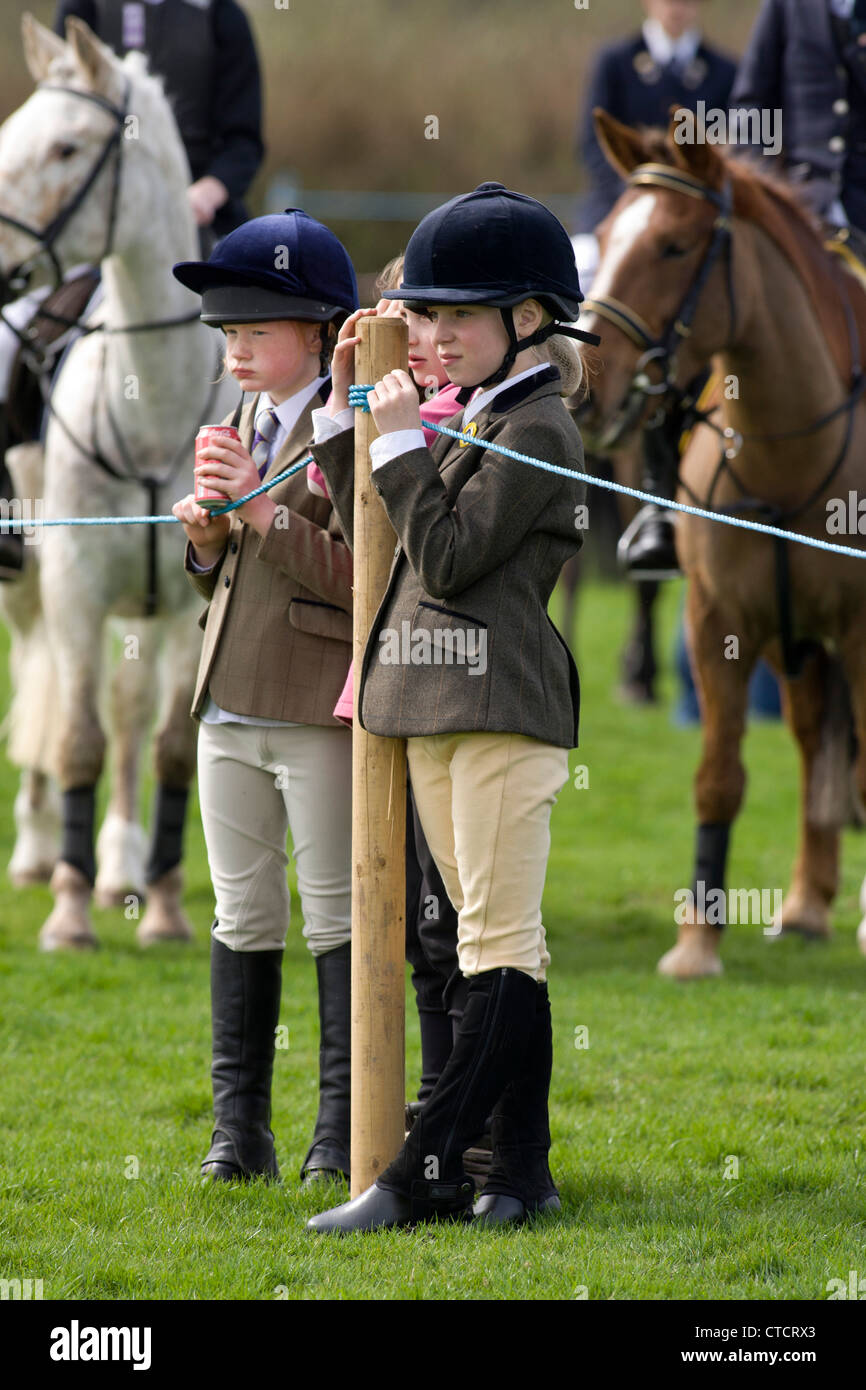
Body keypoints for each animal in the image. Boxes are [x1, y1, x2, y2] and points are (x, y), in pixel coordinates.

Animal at [0, 13, 234, 945]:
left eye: (68, 147)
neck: (151, 401)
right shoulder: (72, 586)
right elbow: (75, 738)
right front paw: (66, 913)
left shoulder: (188, 599)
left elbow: (167, 745)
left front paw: (161, 906)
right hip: (30, 590)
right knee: (41, 682)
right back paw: (40, 853)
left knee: (132, 714)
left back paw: (124, 867)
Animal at [578, 111, 866, 978]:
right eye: (606, 235)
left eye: (674, 247)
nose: (583, 388)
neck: (788, 449)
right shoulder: (721, 623)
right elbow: (718, 778)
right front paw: (696, 943)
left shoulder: (861, 631)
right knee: (809, 743)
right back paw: (806, 905)